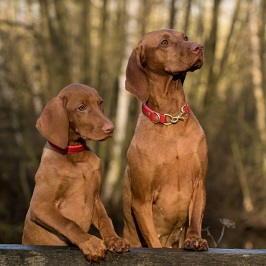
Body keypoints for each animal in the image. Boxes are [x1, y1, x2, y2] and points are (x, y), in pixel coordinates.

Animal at [22, 83, 130, 262]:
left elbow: (105, 219)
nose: (111, 128)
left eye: (100, 103)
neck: (76, 157)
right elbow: (69, 223)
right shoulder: (40, 206)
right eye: (81, 108)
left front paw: (114, 239)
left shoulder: (96, 198)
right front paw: (90, 243)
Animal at [122, 30, 208, 250]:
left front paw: (195, 239)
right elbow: (153, 241)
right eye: (164, 42)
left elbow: (196, 217)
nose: (199, 47)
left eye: (185, 37)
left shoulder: (199, 183)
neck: (171, 120)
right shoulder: (141, 200)